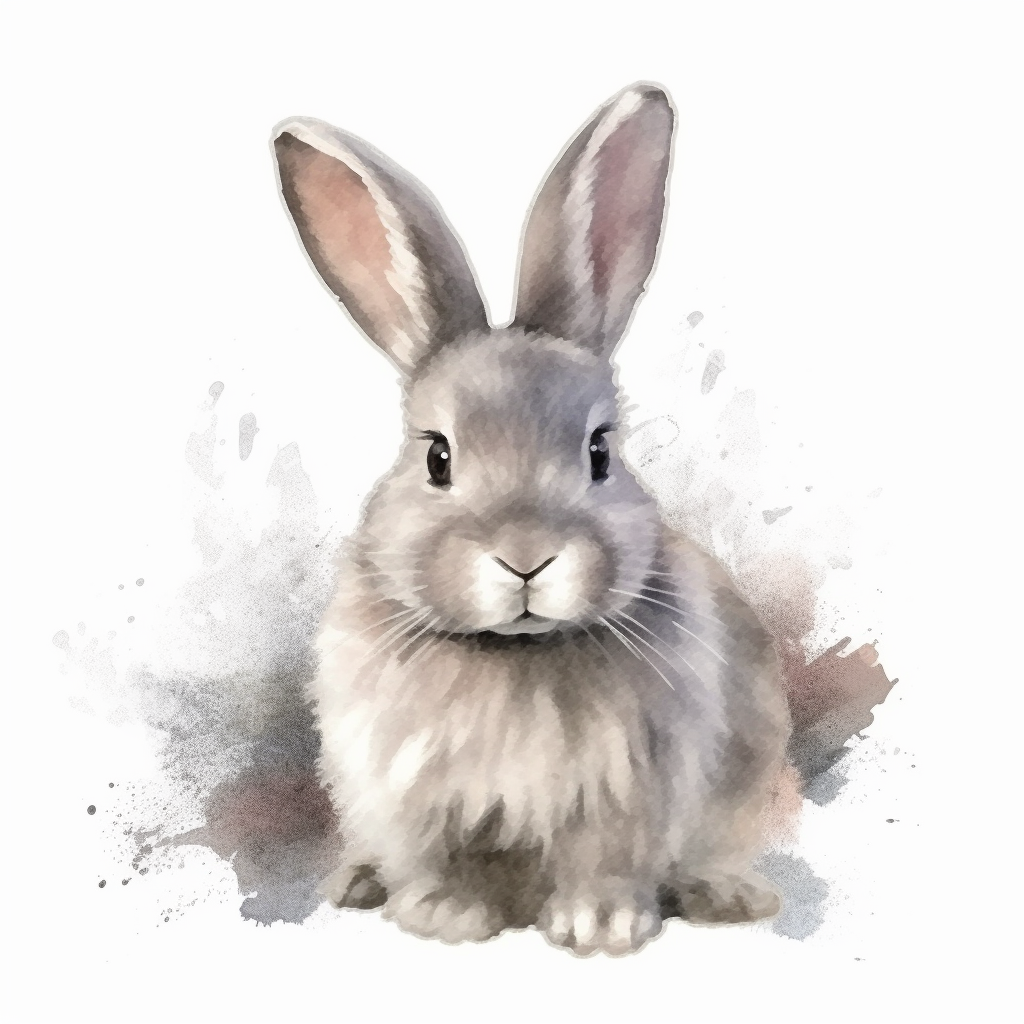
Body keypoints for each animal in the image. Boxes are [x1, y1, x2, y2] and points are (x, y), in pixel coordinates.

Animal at [271, 82, 792, 956]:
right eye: (437, 457)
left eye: (600, 453)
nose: (525, 558)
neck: (514, 653)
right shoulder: (407, 787)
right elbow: (439, 855)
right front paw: (445, 916)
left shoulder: (629, 787)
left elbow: (605, 856)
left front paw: (599, 926)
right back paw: (359, 881)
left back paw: (728, 894)